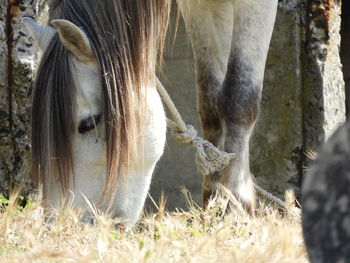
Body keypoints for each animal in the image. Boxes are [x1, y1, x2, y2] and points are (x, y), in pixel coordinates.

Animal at [23, 0, 278, 226]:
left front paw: (234, 205)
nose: (61, 224)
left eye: (88, 124)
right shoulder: (200, 6)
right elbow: (210, 100)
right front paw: (213, 202)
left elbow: (238, 96)